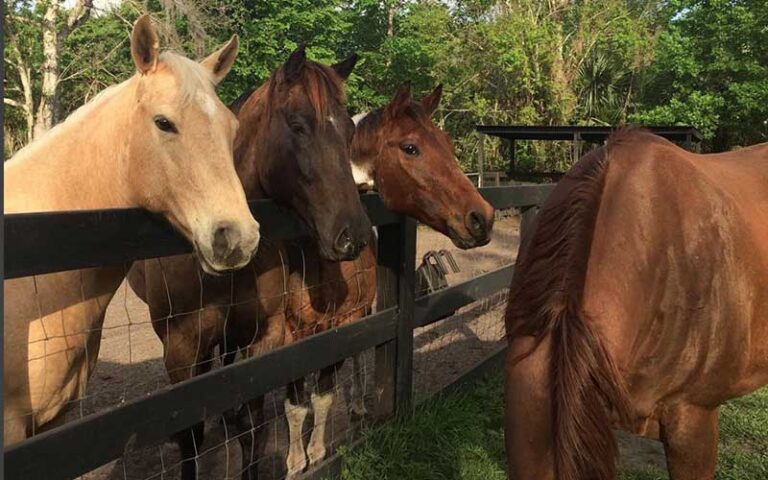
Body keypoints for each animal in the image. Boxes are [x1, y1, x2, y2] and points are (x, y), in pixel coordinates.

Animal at [127, 46, 370, 480]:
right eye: (298, 125)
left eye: (348, 131)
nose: (353, 236)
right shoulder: (181, 349)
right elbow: (190, 435)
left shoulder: (262, 339)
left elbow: (254, 425)